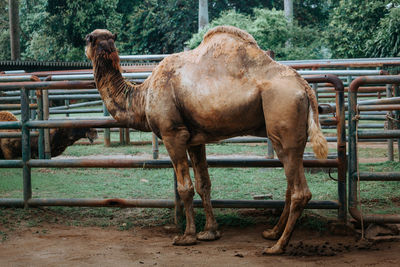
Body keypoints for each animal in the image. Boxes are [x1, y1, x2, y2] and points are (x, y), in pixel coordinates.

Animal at [85, 26, 328, 255]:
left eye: (87, 39)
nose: (85, 45)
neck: (142, 95)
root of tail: (305, 87)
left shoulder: (173, 133)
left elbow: (185, 187)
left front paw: (187, 236)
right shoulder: (194, 139)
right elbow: (204, 184)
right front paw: (210, 232)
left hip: (284, 122)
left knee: (300, 191)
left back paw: (277, 247)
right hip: (293, 134)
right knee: (290, 183)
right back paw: (272, 233)